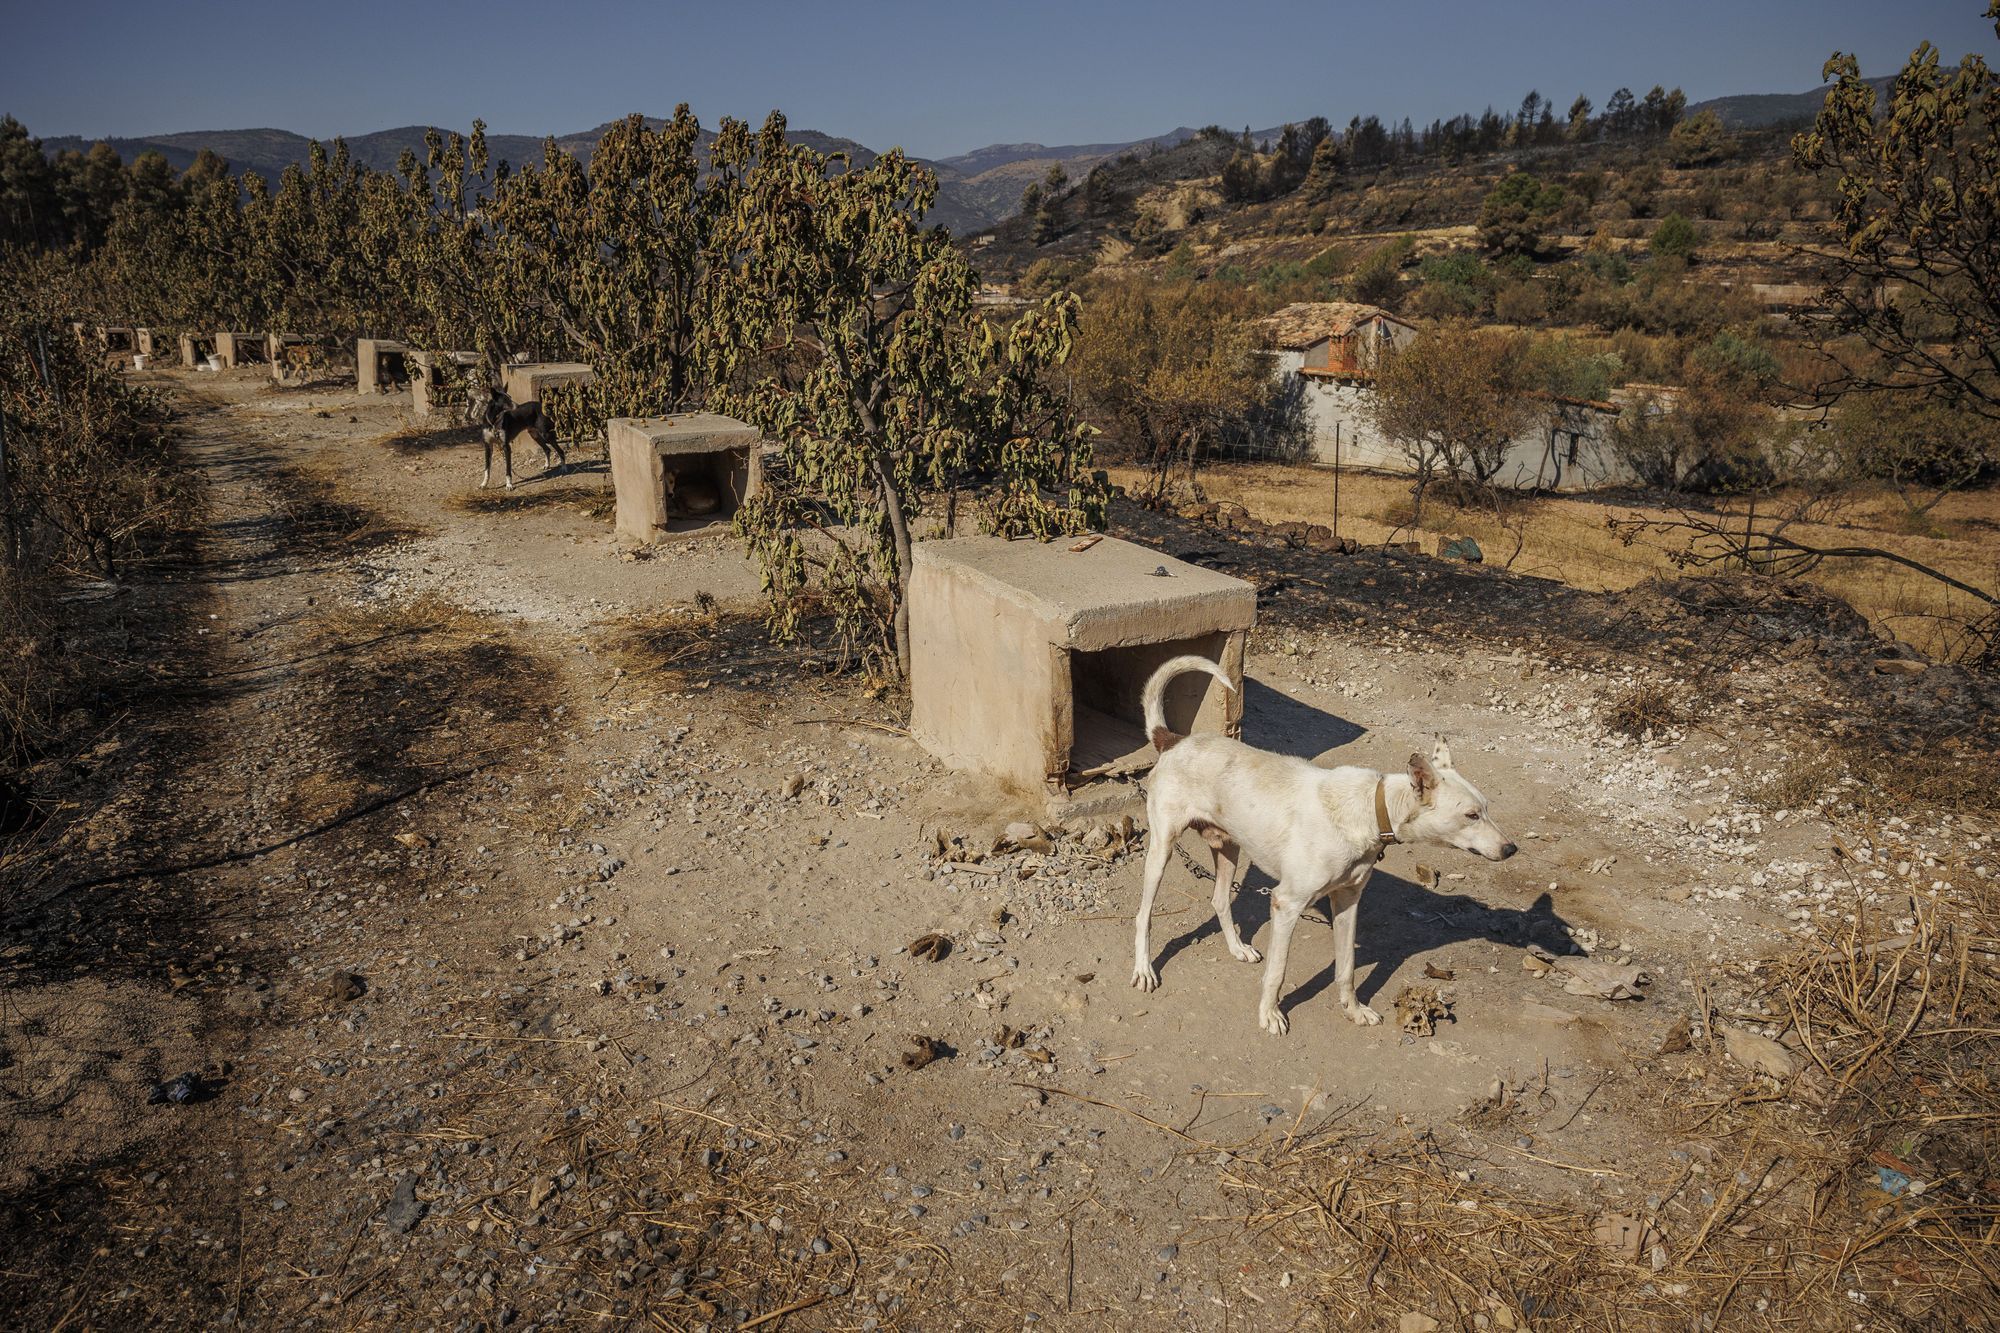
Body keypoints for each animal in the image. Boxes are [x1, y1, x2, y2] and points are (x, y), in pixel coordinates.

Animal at [1136, 656, 1504, 1040]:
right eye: (1471, 815)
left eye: (1486, 809)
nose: (1510, 849)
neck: (1367, 809)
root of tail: (1174, 740)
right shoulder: (1286, 903)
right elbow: (1278, 971)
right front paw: (1270, 1014)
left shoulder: (1348, 900)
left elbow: (1347, 968)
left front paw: (1353, 1010)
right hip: (1162, 850)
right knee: (1143, 915)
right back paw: (1144, 968)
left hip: (1228, 848)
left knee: (1220, 900)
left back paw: (1238, 948)